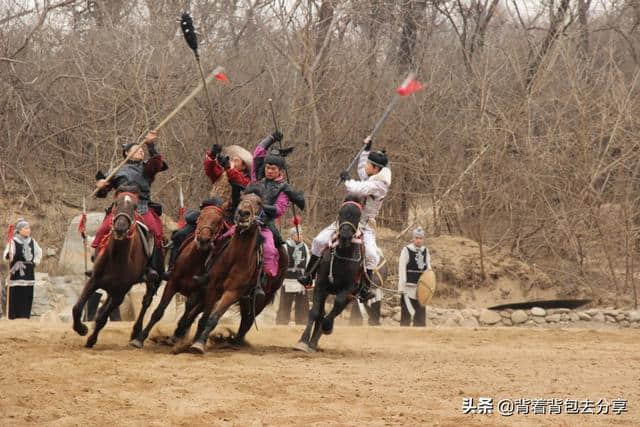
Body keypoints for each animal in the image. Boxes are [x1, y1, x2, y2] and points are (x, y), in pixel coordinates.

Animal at [71, 189, 162, 350]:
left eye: (135, 206)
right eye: (116, 204)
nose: (120, 227)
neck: (116, 258)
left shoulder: (121, 292)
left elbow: (103, 318)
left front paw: (91, 339)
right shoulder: (94, 281)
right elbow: (77, 308)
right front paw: (81, 329)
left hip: (152, 281)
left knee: (146, 301)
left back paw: (136, 334)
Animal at [129, 205, 229, 352]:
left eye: (219, 222)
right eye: (201, 217)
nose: (203, 240)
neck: (192, 263)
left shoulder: (197, 291)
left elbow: (189, 309)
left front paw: (178, 333)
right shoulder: (172, 283)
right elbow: (158, 312)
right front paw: (140, 339)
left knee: (193, 314)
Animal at [188, 193, 288, 354]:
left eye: (259, 202)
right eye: (241, 199)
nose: (243, 214)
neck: (235, 258)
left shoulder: (232, 292)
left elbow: (213, 318)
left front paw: (199, 344)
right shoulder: (213, 287)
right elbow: (204, 317)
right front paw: (195, 341)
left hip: (262, 299)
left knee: (248, 321)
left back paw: (236, 341)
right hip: (245, 299)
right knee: (245, 319)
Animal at [296, 196, 364, 352]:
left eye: (358, 215)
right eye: (341, 212)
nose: (344, 236)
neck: (343, 256)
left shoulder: (349, 289)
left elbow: (336, 306)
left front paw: (327, 327)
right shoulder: (321, 284)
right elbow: (315, 312)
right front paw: (303, 341)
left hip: (351, 295)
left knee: (337, 309)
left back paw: (317, 338)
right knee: (321, 312)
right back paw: (312, 342)